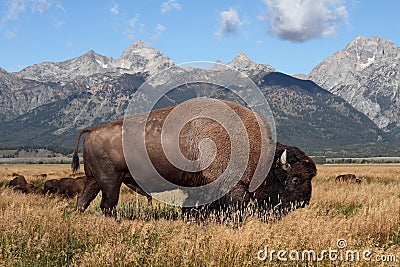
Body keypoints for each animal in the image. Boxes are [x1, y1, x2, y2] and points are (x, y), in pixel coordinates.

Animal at [71, 100, 316, 218]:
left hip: (95, 180)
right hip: (111, 181)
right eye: (294, 179)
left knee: (84, 201)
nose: (304, 202)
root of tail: (94, 130)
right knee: (107, 206)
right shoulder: (233, 189)